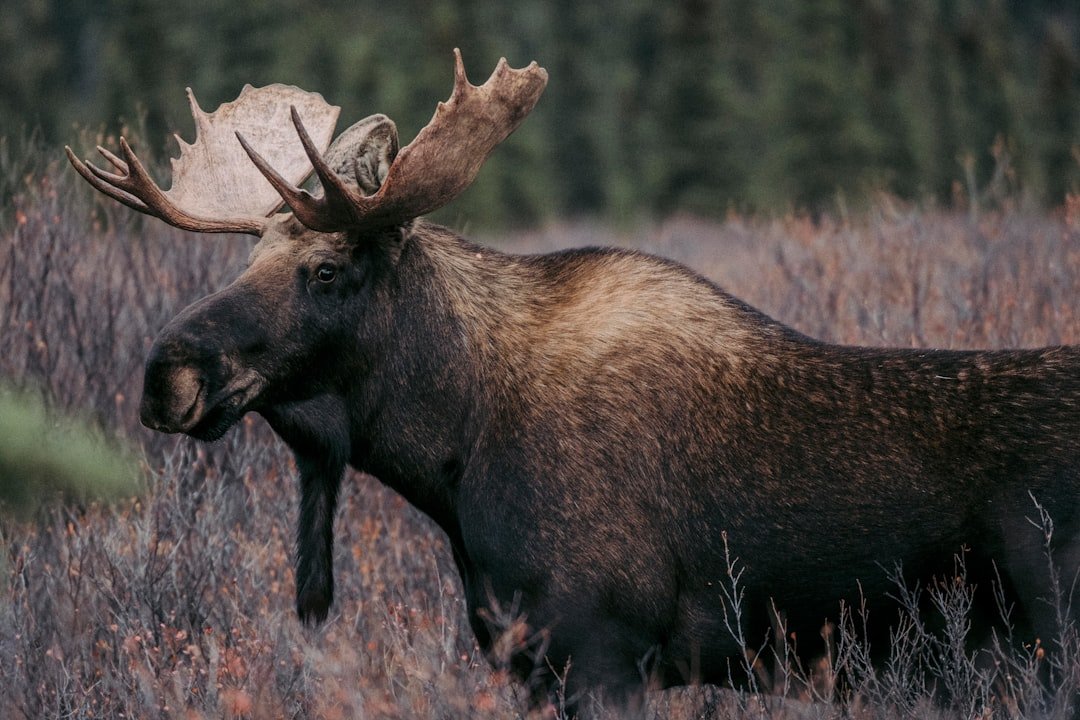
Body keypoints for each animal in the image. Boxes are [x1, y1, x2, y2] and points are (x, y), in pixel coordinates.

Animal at [68, 51, 1080, 715]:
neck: (453, 452)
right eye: (248, 260)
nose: (165, 374)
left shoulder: (604, 650)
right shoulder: (526, 659)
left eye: (325, 269)